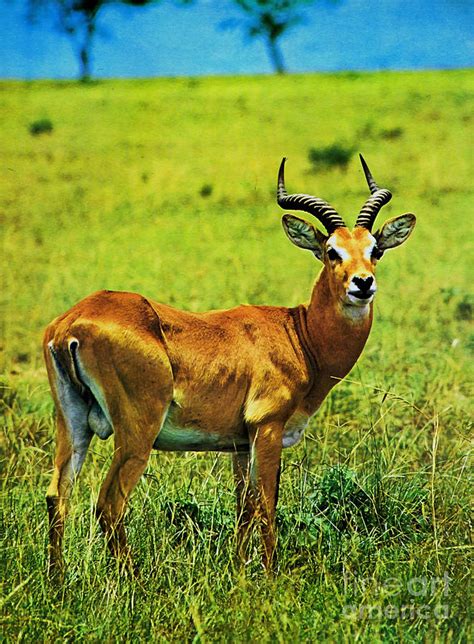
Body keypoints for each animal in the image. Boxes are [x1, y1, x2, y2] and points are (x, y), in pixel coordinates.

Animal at [43, 156, 414, 572]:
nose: (363, 283)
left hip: (72, 424)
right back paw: (133, 580)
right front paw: (271, 575)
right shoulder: (268, 429)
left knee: (57, 495)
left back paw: (58, 580)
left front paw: (239, 571)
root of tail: (71, 324)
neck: (299, 334)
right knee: (108, 504)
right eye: (332, 250)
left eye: (375, 249)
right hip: (137, 433)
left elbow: (245, 509)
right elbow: (267, 506)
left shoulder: (240, 443)